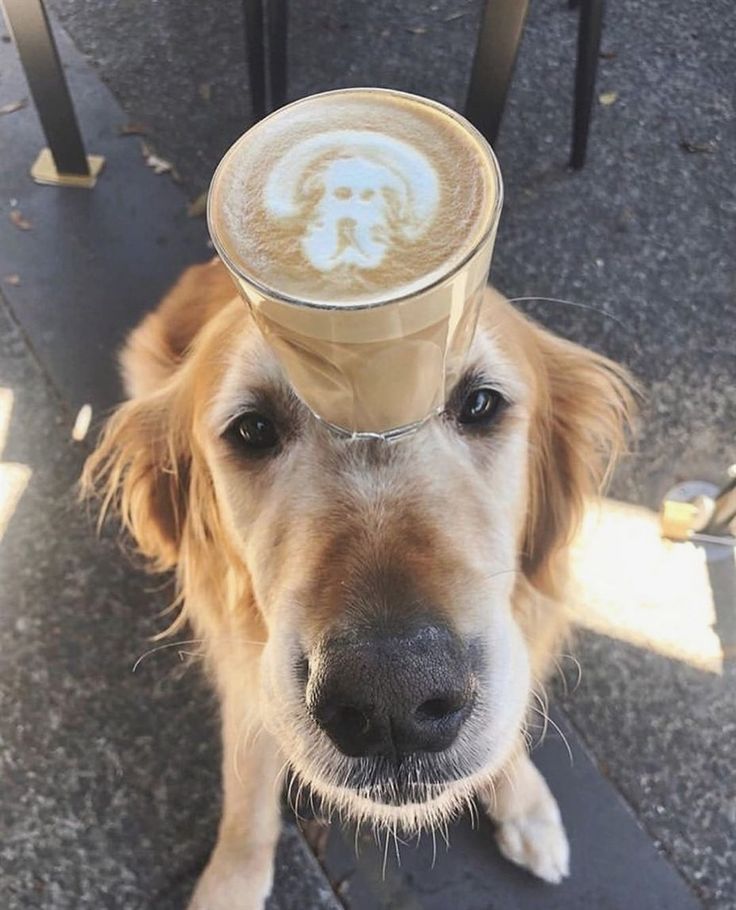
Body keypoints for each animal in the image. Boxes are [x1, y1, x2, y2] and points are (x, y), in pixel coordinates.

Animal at [82, 260, 632, 908]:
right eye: (253, 429)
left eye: (479, 403)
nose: (391, 696)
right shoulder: (247, 677)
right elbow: (248, 795)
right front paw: (231, 882)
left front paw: (525, 804)